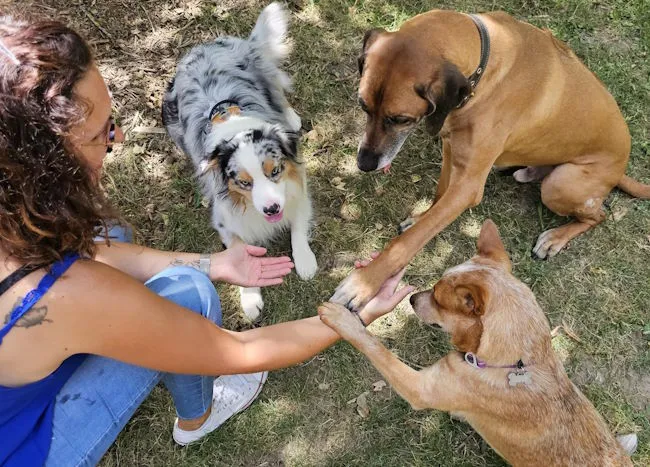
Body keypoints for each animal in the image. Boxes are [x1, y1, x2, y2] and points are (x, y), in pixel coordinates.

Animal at [318, 220, 632, 467]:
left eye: (437, 297)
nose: (411, 298)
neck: (509, 361)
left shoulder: (419, 388)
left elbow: (375, 347)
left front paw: (341, 319)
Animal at [332, 8, 644, 310]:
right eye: (363, 106)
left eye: (400, 119)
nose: (364, 164)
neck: (483, 68)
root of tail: (621, 168)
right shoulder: (451, 147)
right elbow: (439, 197)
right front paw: (422, 215)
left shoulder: (468, 185)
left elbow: (409, 241)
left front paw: (363, 283)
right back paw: (527, 172)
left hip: (561, 185)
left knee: (599, 214)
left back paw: (555, 237)